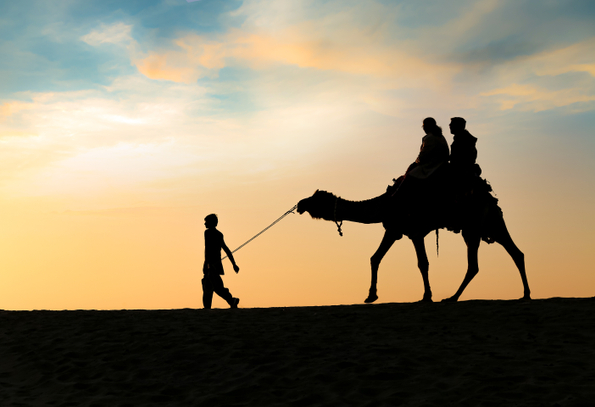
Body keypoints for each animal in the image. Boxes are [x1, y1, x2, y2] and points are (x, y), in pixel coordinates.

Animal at [298, 183, 532, 304]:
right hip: (490, 224)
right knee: (516, 253)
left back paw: (452, 298)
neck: (384, 204)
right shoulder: (394, 229)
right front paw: (371, 295)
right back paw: (525, 294)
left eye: (315, 199)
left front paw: (427, 296)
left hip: (475, 227)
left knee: (477, 264)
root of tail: (491, 198)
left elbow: (423, 263)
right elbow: (375, 257)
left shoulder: (414, 231)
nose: (300, 204)